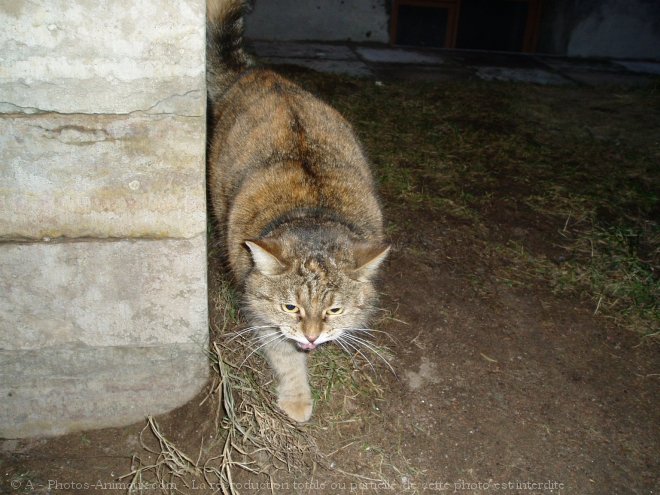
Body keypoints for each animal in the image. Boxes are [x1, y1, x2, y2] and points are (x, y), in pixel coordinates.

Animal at [208, 0, 386, 422]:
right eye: (291, 306)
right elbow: (285, 357)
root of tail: (259, 73)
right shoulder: (263, 315)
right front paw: (297, 398)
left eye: (334, 309)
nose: (312, 336)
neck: (314, 213)